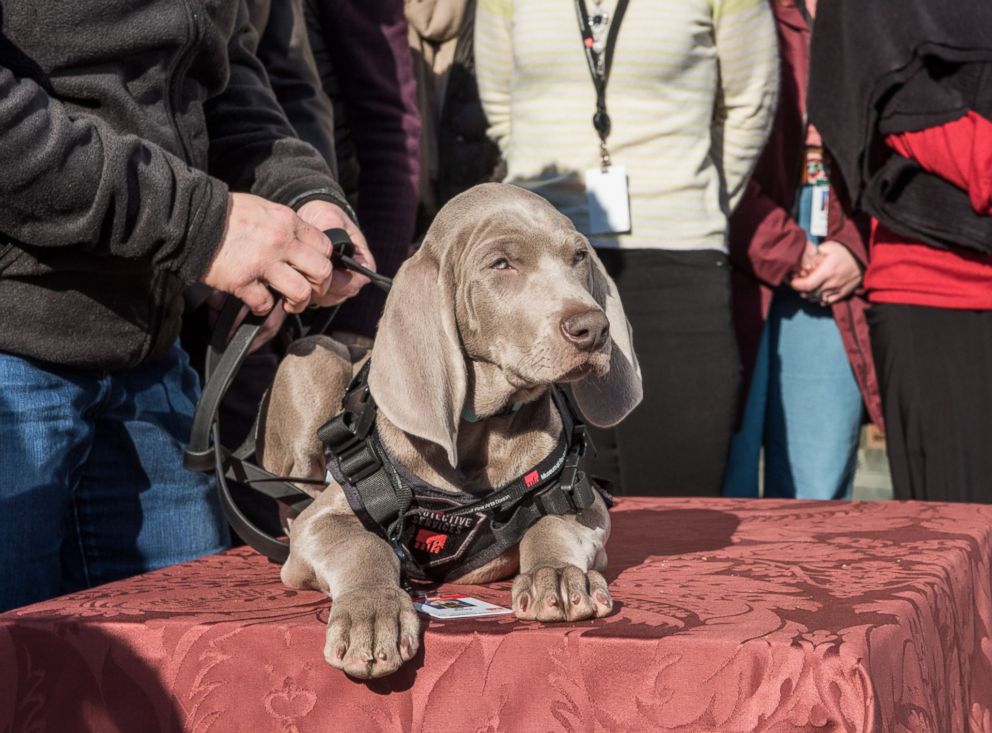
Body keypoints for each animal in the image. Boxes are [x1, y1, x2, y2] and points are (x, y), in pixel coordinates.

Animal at [258, 182, 644, 676]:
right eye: (501, 264)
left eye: (578, 256)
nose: (594, 328)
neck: (481, 434)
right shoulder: (320, 523)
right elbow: (364, 546)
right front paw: (371, 611)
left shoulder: (586, 502)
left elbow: (553, 525)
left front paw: (556, 575)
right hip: (310, 357)